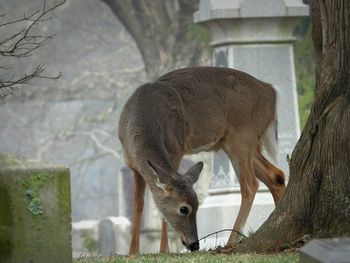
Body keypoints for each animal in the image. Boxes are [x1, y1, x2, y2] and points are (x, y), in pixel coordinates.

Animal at [117, 66, 284, 256]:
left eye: (197, 206)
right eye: (184, 208)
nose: (194, 244)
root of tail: (272, 92)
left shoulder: (176, 150)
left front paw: (164, 250)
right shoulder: (133, 165)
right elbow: (138, 204)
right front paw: (132, 251)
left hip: (243, 136)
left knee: (250, 184)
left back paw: (231, 242)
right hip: (235, 143)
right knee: (276, 175)